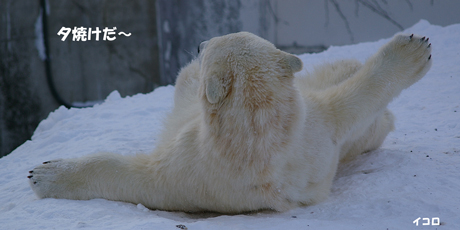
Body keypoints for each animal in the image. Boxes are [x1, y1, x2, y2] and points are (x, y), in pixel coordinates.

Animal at [28, 31, 432, 213]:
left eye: (212, 44)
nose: (198, 45)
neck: (256, 139)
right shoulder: (313, 133)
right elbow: (351, 105)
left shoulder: (189, 164)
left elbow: (132, 175)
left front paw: (43, 173)